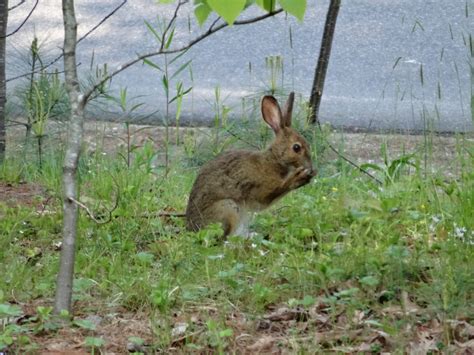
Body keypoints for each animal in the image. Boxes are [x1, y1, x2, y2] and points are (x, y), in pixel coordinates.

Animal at [185, 92, 314, 238]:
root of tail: (192, 228)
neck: (274, 159)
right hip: (228, 209)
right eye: (296, 148)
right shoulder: (261, 190)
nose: (311, 167)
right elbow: (278, 190)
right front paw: (299, 178)